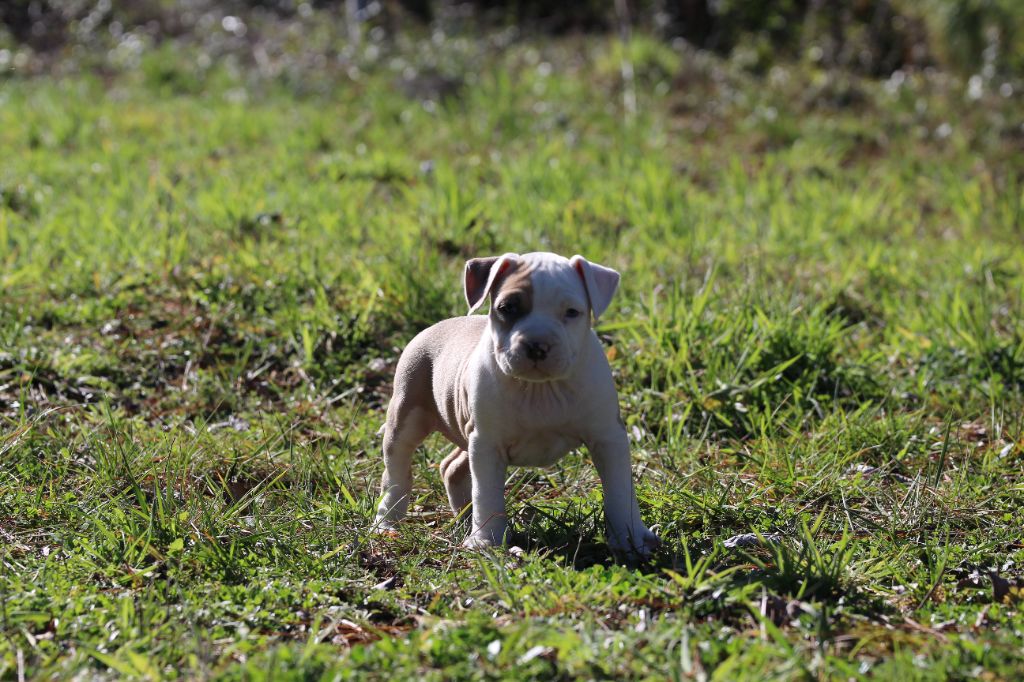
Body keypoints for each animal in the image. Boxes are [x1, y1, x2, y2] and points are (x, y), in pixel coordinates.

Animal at [372, 250, 659, 557]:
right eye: (507, 308)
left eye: (572, 312)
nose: (537, 345)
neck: (540, 389)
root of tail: (437, 325)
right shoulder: (487, 444)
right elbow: (486, 492)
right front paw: (486, 541)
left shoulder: (607, 438)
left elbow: (620, 490)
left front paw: (631, 539)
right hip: (407, 415)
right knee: (397, 471)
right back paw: (387, 522)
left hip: (466, 433)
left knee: (451, 466)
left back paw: (465, 520)